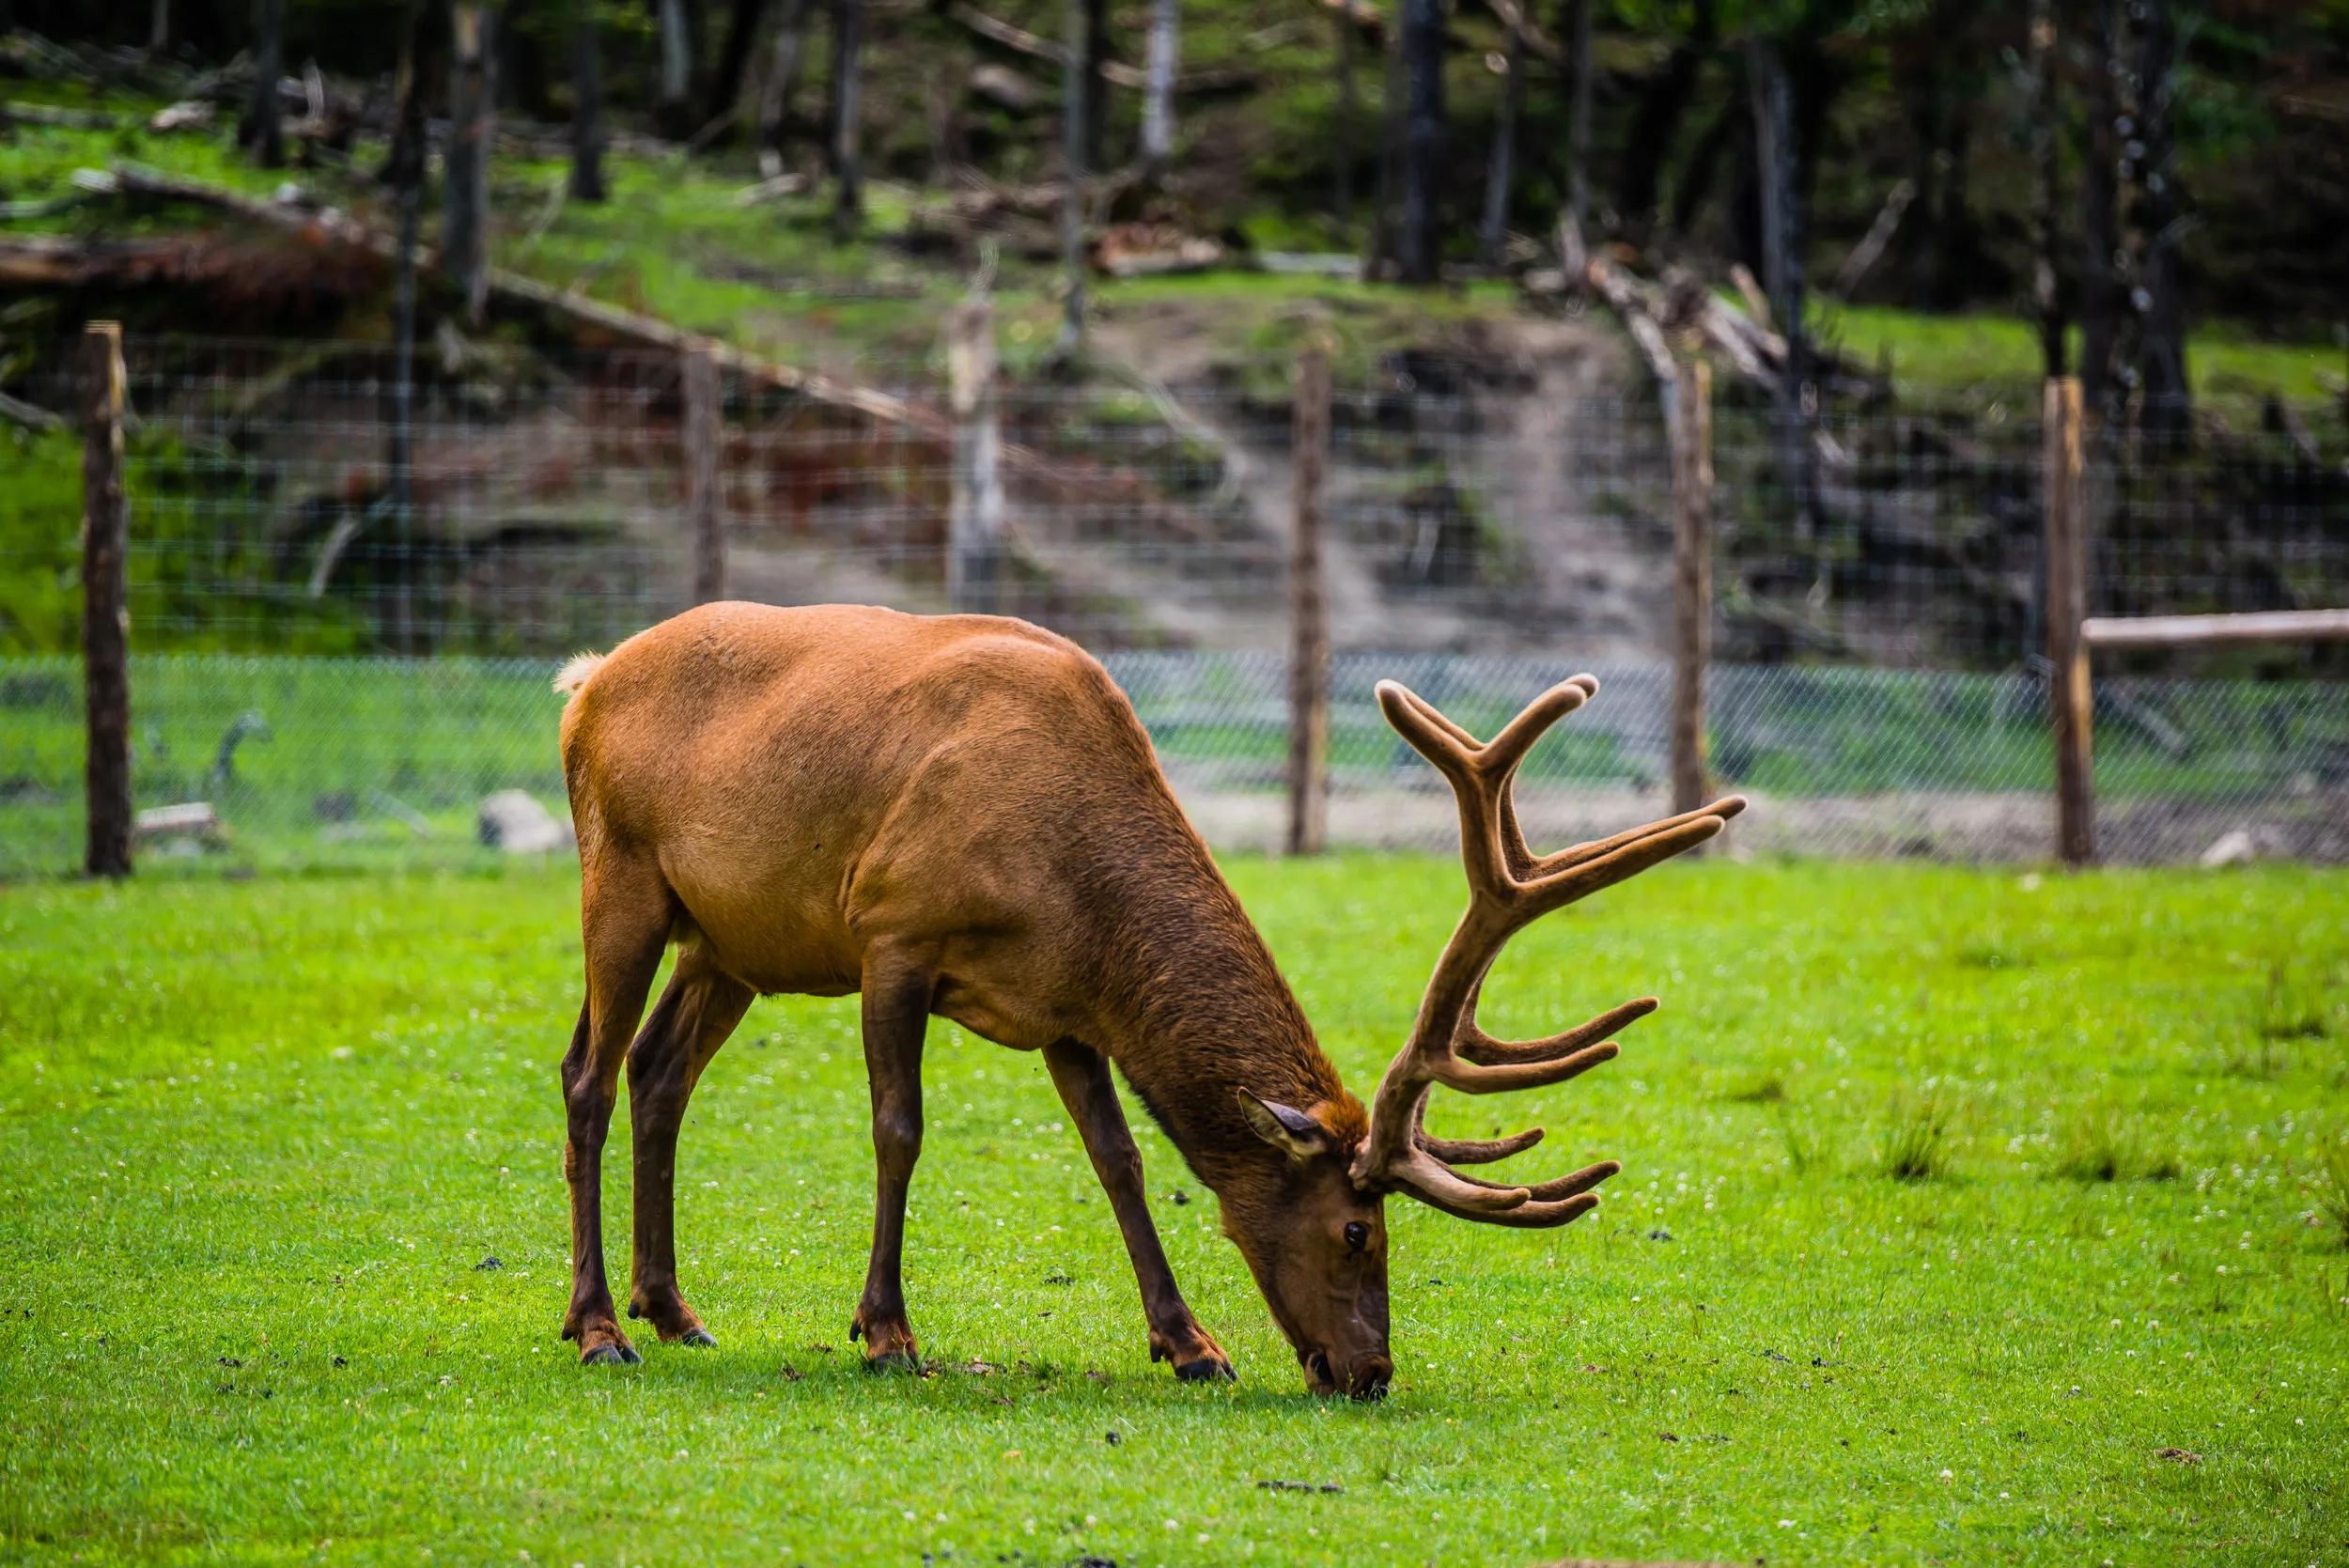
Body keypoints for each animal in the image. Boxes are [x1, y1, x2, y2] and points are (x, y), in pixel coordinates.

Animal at [552, 602, 1741, 1398]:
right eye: (1357, 1228)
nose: (1371, 1371)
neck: (1074, 888)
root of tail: (585, 680)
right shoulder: (892, 931)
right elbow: (900, 1130)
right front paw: (887, 1332)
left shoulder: (1065, 1007)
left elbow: (1119, 1160)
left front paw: (1192, 1344)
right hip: (622, 878)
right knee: (587, 1076)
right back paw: (599, 1324)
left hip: (732, 941)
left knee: (658, 1072)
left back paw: (675, 1310)